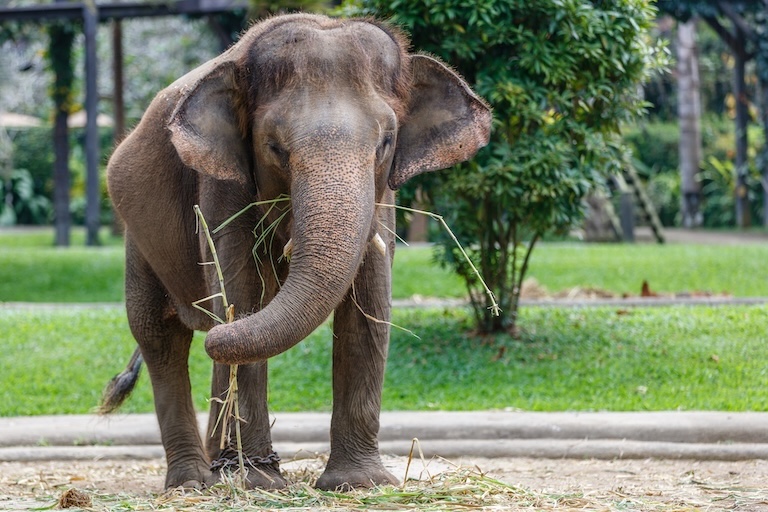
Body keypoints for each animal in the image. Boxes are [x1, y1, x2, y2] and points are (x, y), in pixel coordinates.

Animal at [102, 13, 491, 491]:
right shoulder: (222, 187)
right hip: (135, 236)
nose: (216, 333)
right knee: (160, 335)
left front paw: (360, 483)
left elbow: (370, 305)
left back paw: (216, 466)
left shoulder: (382, 196)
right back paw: (194, 482)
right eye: (274, 147)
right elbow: (241, 295)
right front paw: (258, 483)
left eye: (386, 142)